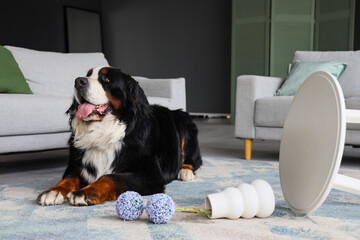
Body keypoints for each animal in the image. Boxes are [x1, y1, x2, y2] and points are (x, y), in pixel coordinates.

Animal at [38, 66, 205, 205]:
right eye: (88, 75)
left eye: (106, 79)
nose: (78, 81)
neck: (104, 131)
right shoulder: (76, 164)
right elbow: (68, 179)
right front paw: (53, 191)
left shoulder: (150, 175)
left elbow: (110, 177)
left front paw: (85, 192)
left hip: (184, 121)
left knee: (193, 159)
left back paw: (185, 171)